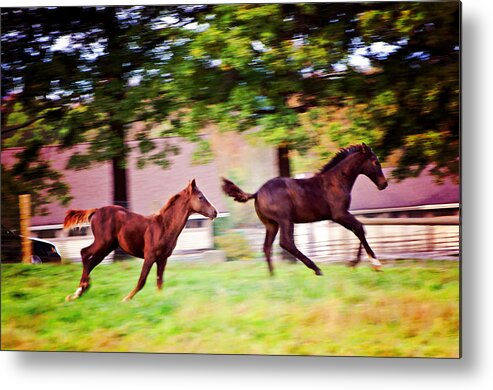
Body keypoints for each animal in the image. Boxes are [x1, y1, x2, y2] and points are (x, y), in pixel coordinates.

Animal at [63, 180, 215, 302]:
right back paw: (80, 290)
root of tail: (96, 211)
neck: (164, 226)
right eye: (200, 197)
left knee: (91, 262)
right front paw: (126, 299)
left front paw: (160, 300)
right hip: (102, 243)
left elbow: (160, 281)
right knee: (84, 253)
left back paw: (80, 291)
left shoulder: (162, 259)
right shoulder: (149, 256)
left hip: (107, 248)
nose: (214, 212)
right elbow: (142, 280)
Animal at [222, 144, 388, 278]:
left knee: (267, 247)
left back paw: (272, 276)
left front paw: (355, 263)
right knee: (286, 242)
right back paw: (316, 269)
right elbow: (360, 228)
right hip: (285, 220)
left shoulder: (339, 216)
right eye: (375, 162)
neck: (336, 181)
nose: (384, 184)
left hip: (271, 224)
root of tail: (257, 193)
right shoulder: (339, 214)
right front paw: (374, 264)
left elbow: (358, 230)